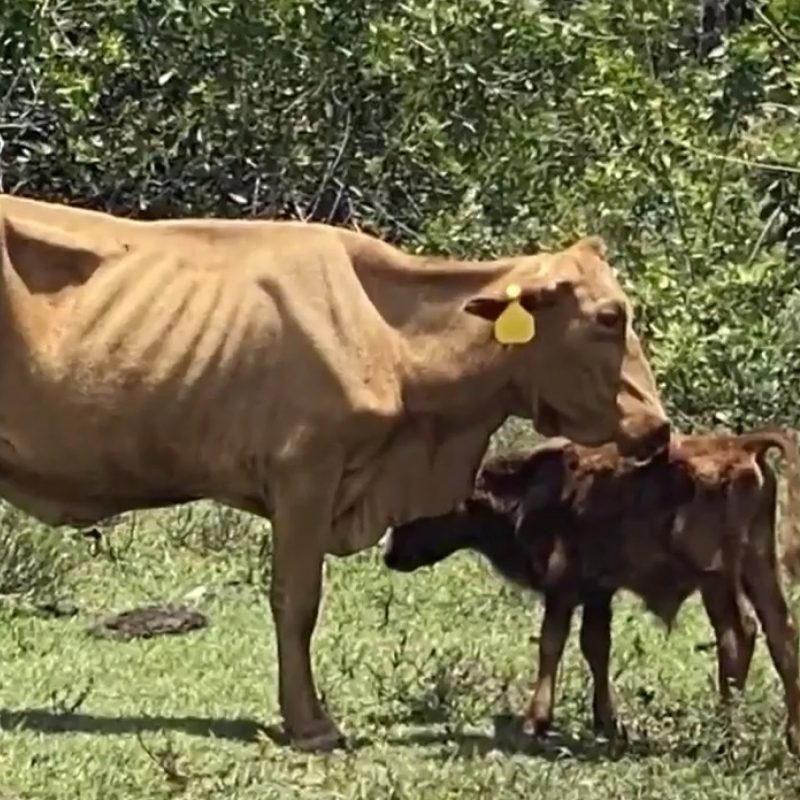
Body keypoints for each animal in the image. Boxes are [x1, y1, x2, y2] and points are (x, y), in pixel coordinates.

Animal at [383, 430, 800, 754]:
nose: (390, 555)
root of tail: (743, 445)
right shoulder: (598, 592)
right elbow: (596, 647)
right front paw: (606, 724)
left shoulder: (563, 587)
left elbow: (552, 644)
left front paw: (535, 722)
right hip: (758, 565)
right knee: (779, 635)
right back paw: (787, 737)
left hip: (716, 578)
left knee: (737, 635)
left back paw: (726, 731)